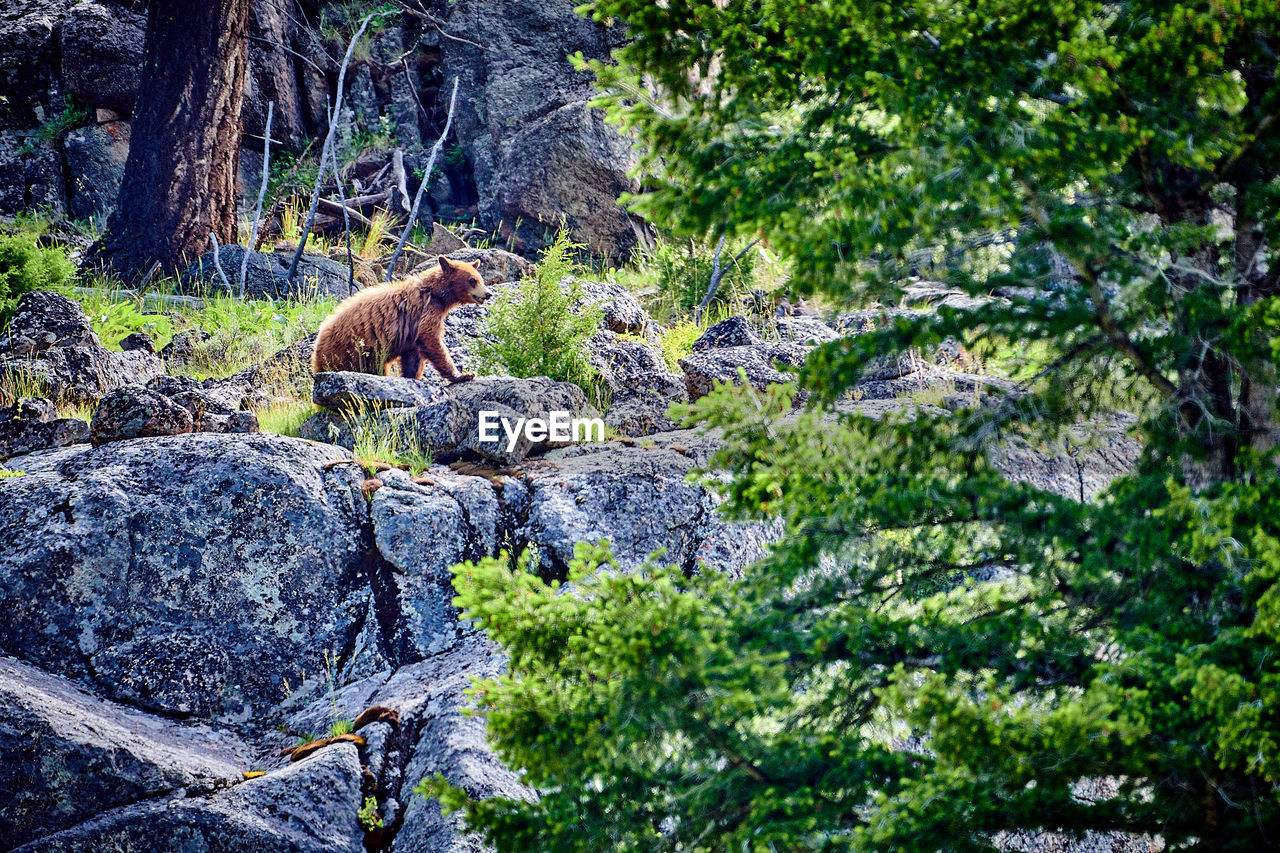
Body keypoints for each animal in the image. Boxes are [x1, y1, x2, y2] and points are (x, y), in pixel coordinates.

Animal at [309, 253, 488, 384]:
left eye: (481, 279)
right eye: (472, 280)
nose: (488, 293)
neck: (436, 294)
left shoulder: (411, 332)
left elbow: (413, 357)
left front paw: (412, 376)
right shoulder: (424, 312)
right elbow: (432, 341)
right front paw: (464, 374)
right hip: (350, 351)